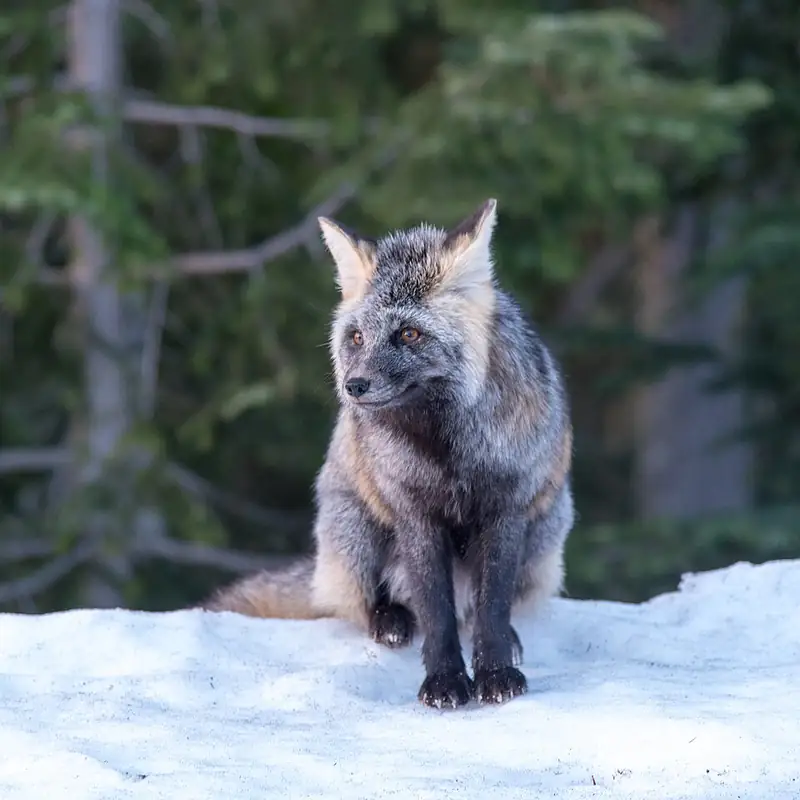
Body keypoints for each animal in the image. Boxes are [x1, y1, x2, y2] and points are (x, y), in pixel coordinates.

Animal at [203, 198, 575, 709]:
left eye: (409, 334)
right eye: (357, 337)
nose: (352, 386)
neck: (446, 454)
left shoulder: (506, 510)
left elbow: (493, 608)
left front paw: (495, 673)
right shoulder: (413, 513)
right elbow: (435, 613)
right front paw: (445, 682)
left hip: (546, 528)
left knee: (480, 608)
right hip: (356, 532)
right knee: (362, 603)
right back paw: (390, 620)